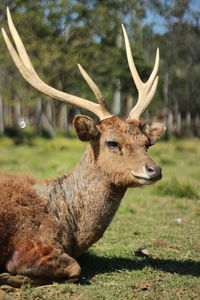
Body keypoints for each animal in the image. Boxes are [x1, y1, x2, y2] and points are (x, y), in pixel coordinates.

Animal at [0, 7, 166, 288]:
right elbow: (74, 269)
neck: (70, 228)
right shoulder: (31, 244)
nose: (155, 170)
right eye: (112, 142)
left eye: (147, 143)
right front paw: (10, 277)